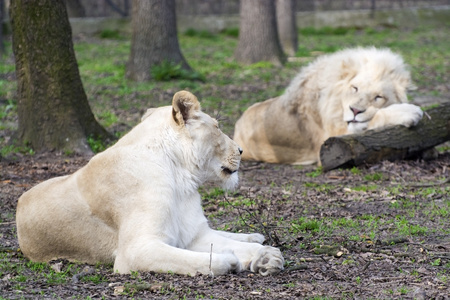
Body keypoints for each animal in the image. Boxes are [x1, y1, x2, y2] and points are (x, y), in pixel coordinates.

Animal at [17, 90, 284, 276]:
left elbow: (220, 243)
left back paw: (254, 237)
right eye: (217, 128)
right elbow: (192, 258)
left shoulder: (192, 235)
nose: (241, 150)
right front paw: (230, 260)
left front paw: (266, 257)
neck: (180, 177)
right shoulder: (135, 250)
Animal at [234, 47, 424, 165]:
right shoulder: (329, 139)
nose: (355, 111)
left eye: (378, 97)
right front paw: (409, 111)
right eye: (355, 88)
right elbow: (375, 118)